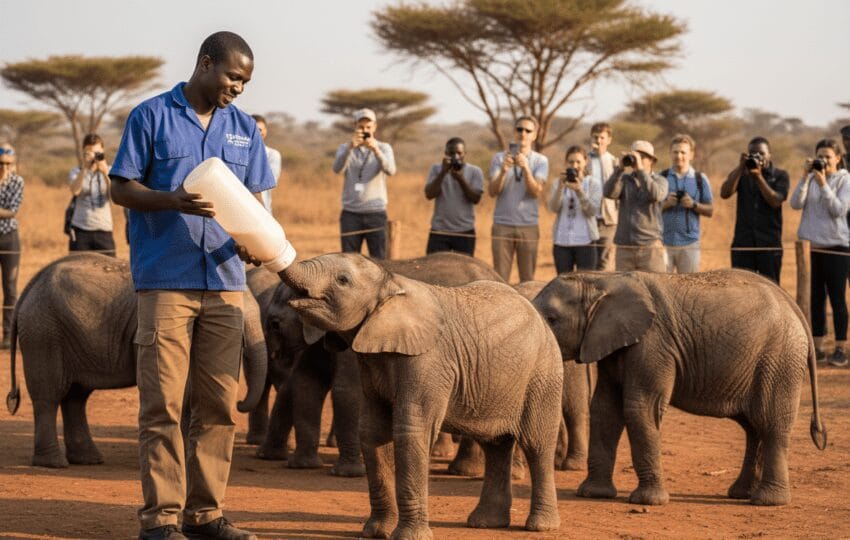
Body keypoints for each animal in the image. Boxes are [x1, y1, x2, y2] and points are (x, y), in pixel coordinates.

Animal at [5, 253, 268, 468]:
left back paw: (88, 460)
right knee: (49, 396)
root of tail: (29, 288)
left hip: (69, 336)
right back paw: (53, 464)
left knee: (76, 397)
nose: (240, 402)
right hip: (44, 333)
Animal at [250, 252, 506, 477]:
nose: (275, 356)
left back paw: (462, 471)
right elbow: (307, 382)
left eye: (274, 324)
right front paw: (302, 466)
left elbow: (346, 390)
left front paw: (347, 474)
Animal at [279, 253, 563, 538]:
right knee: (495, 445)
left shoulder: (427, 360)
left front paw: (408, 536)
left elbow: (411, 431)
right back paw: (485, 523)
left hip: (543, 374)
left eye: (342, 280)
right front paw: (376, 532)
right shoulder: (372, 361)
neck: (390, 283)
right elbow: (373, 431)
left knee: (537, 444)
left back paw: (540, 526)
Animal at [531, 269, 827, 507]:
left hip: (780, 360)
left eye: (552, 319)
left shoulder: (653, 343)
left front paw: (648, 502)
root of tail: (795, 308)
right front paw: (592, 494)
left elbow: (640, 408)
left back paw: (767, 502)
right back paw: (741, 494)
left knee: (771, 422)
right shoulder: (611, 344)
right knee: (754, 426)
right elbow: (605, 409)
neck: (601, 279)